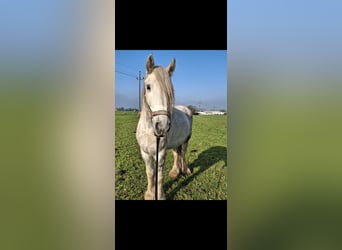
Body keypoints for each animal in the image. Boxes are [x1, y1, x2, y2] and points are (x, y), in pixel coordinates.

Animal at [136, 54, 192, 199]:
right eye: (148, 87)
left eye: (170, 90)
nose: (162, 126)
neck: (149, 130)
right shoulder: (145, 153)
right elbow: (150, 174)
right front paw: (150, 194)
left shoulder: (160, 153)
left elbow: (159, 176)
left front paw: (159, 195)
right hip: (175, 143)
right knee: (176, 154)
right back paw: (174, 172)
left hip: (185, 140)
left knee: (183, 154)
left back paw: (185, 170)